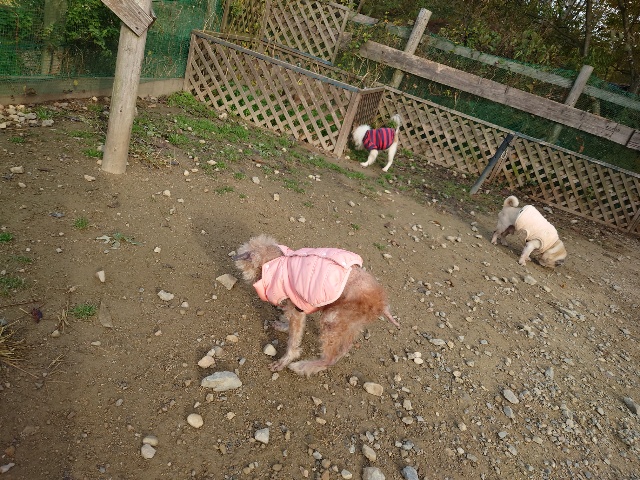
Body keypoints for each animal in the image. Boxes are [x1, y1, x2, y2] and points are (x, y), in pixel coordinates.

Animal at [233, 234, 399, 376]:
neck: (277, 261)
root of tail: (382, 304)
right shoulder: (297, 307)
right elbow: (291, 322)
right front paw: (282, 325)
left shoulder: (296, 307)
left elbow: (294, 339)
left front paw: (283, 362)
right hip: (350, 324)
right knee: (341, 351)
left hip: (332, 319)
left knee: (329, 359)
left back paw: (300, 367)